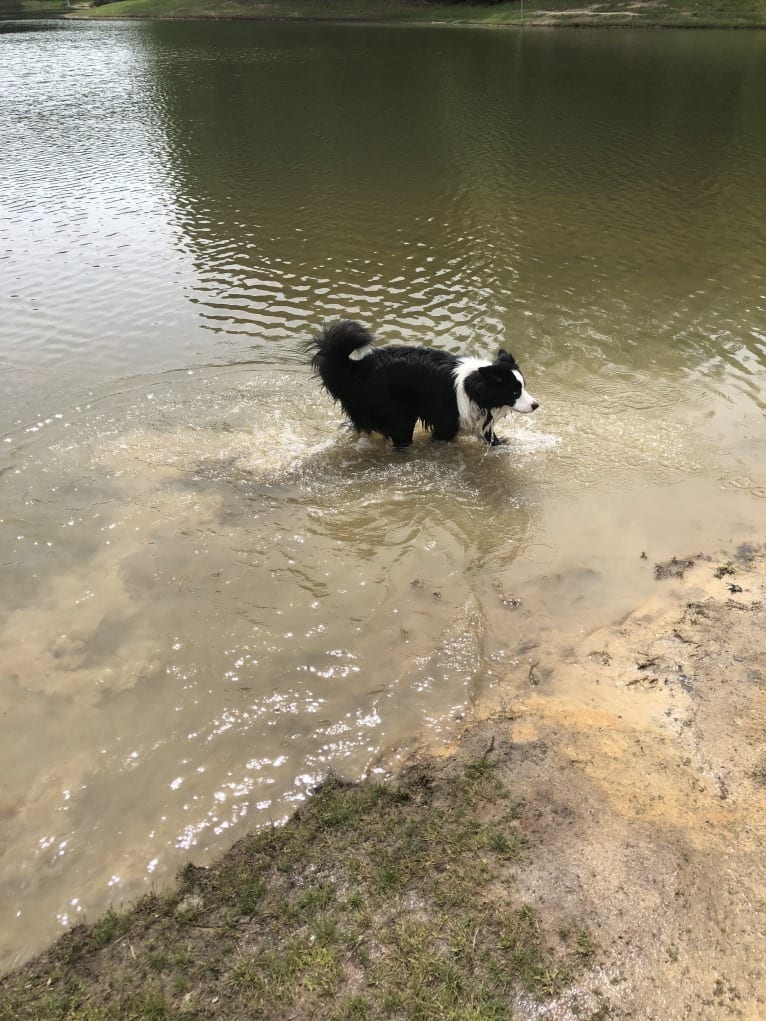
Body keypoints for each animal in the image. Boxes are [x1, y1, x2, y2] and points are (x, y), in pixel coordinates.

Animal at [308, 318, 539, 447]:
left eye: (524, 386)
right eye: (515, 391)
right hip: (399, 418)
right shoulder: (446, 424)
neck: (474, 386)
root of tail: (358, 367)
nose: (536, 405)